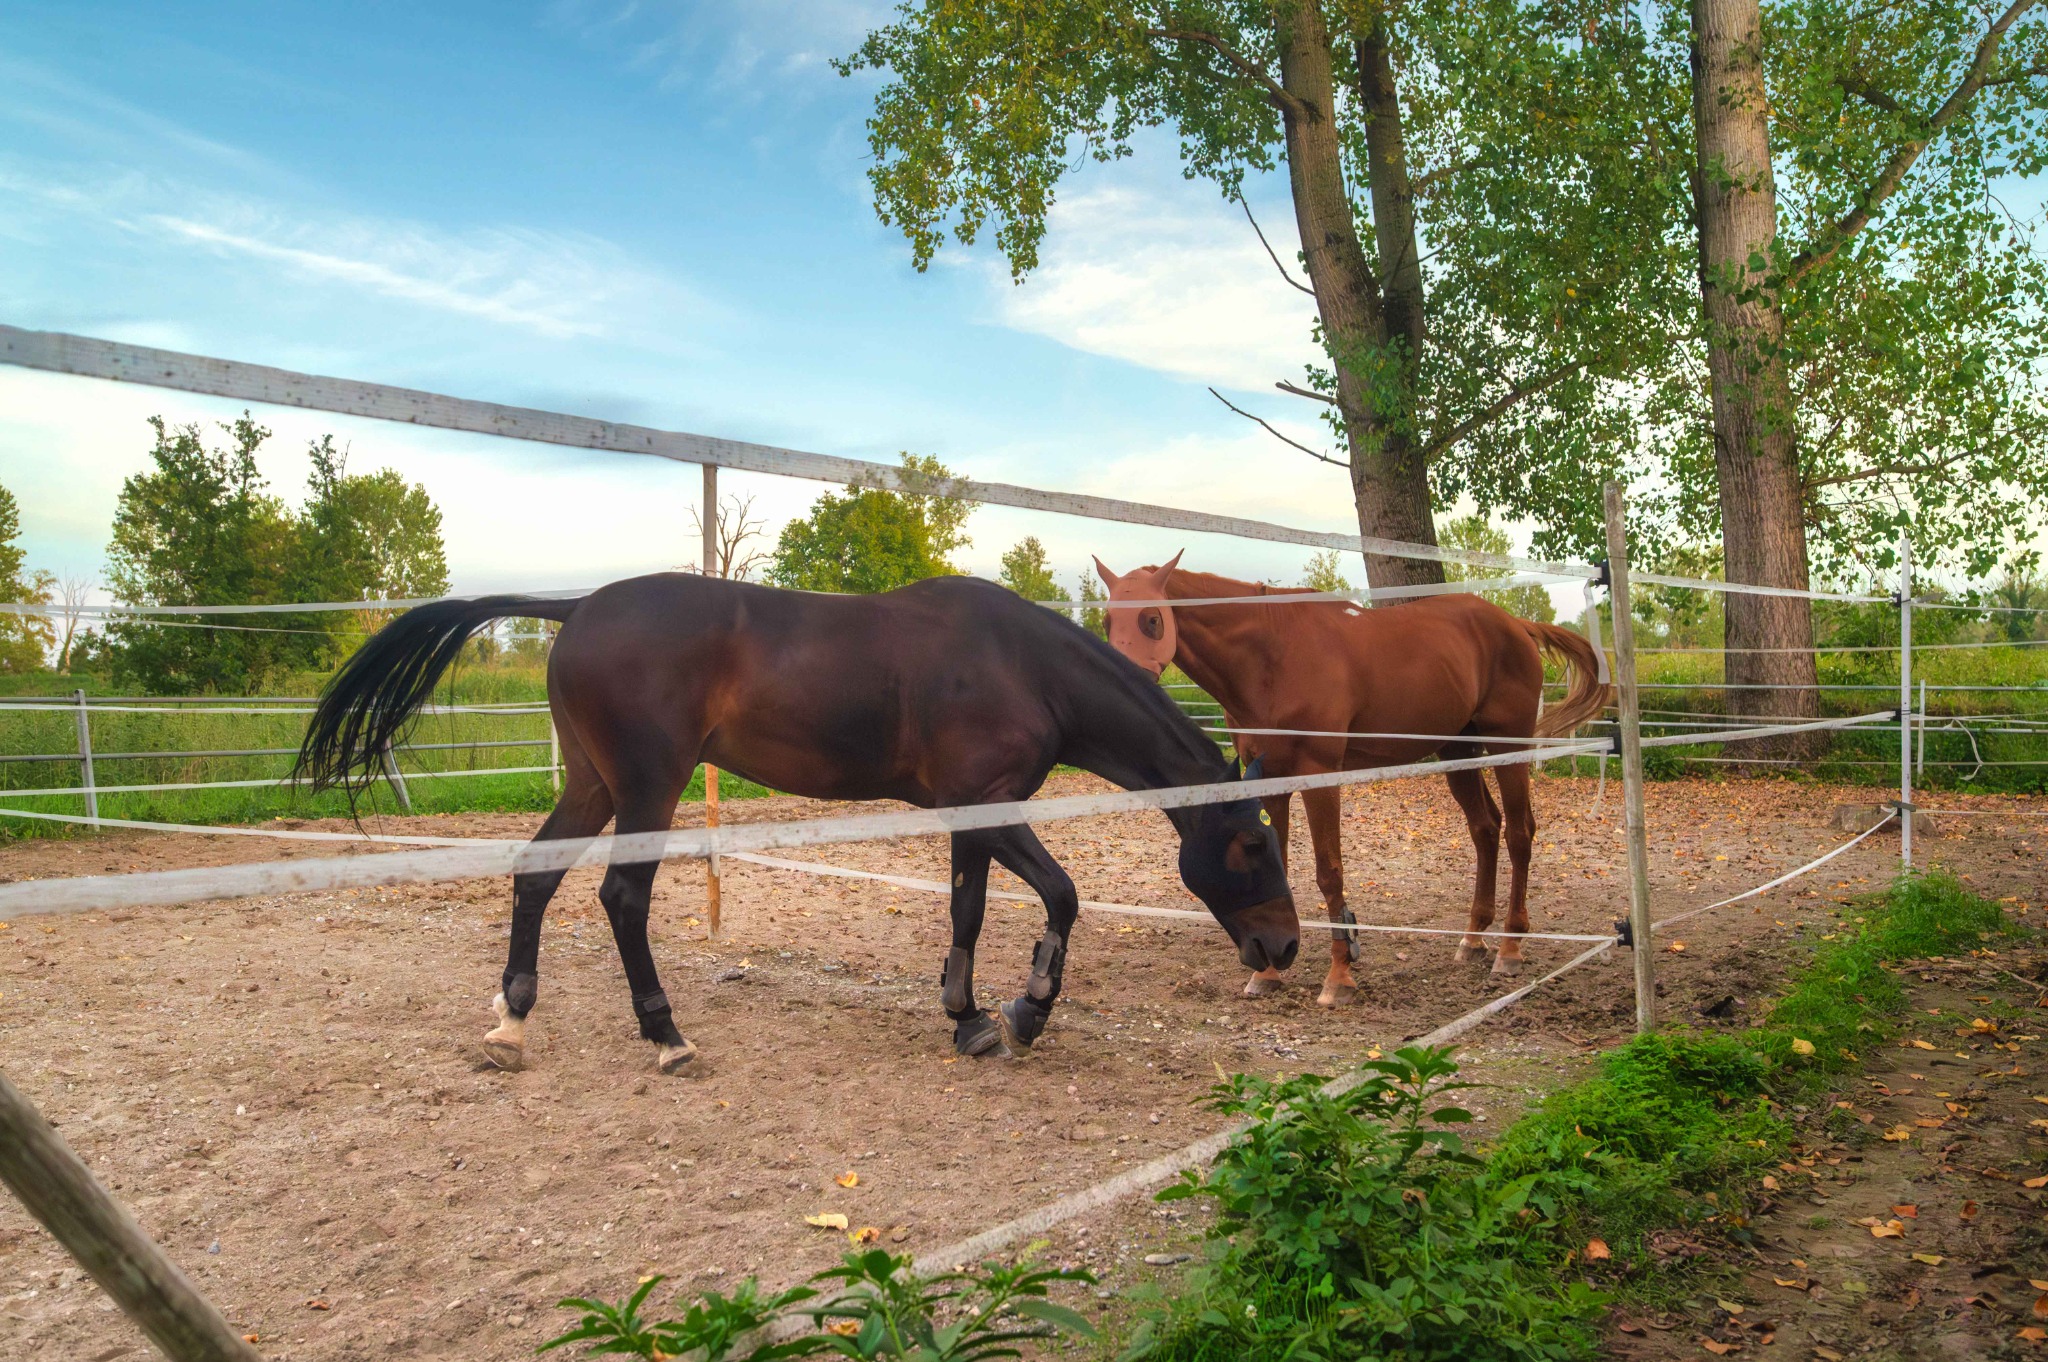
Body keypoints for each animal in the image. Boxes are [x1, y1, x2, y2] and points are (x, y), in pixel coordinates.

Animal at [294, 572, 1299, 1072]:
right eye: (1252, 843)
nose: (1284, 947)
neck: (1021, 663)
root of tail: (577, 606)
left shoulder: (969, 818)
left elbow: (969, 912)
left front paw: (967, 1016)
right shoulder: (992, 807)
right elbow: (1062, 895)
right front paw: (1023, 1013)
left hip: (592, 787)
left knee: (536, 877)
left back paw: (511, 1025)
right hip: (648, 789)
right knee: (623, 897)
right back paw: (667, 1038)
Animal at [1092, 554, 1608, 1004]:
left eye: (1152, 620)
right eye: (1107, 621)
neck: (1272, 656)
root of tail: (1516, 625)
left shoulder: (1321, 777)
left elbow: (1329, 872)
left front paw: (1338, 978)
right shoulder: (1269, 779)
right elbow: (1278, 859)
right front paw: (1268, 973)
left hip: (1508, 750)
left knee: (1520, 833)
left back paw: (1510, 948)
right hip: (1456, 752)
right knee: (1485, 829)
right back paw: (1472, 939)